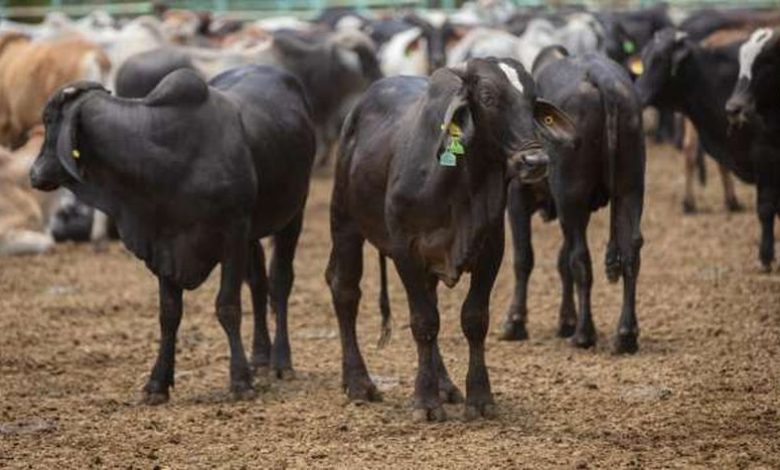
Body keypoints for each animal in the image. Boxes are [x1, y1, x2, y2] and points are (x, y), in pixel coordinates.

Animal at [28, 65, 314, 404]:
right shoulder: (163, 245)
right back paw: (260, 356)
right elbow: (169, 313)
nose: (34, 174)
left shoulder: (232, 234)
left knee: (280, 282)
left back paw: (282, 361)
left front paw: (240, 380)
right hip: (254, 231)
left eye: (48, 119)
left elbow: (228, 306)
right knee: (258, 284)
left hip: (294, 212)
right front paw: (157, 383)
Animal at [326, 57, 576, 420]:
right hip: (344, 222)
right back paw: (359, 383)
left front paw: (480, 398)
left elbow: (473, 319)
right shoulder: (406, 251)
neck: (461, 183)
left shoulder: (491, 251)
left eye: (532, 100)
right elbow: (424, 321)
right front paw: (425, 402)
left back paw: (444, 385)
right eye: (487, 97)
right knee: (345, 290)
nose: (535, 161)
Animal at [500, 46, 644, 352]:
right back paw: (625, 334)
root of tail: (603, 77)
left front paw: (515, 322)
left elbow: (524, 258)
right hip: (630, 189)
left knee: (581, 259)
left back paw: (584, 333)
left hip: (571, 197)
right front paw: (565, 320)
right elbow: (560, 261)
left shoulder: (517, 198)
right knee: (630, 252)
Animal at [636, 29, 776, 270]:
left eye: (660, 59)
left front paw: (765, 257)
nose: (637, 92)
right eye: (644, 59)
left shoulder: (765, 154)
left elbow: (766, 208)